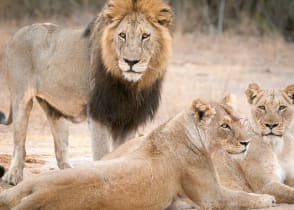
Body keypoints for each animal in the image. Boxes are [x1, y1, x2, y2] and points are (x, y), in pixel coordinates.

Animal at [0, 0, 173, 185]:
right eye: (122, 35)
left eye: (145, 36)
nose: (131, 62)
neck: (130, 85)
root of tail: (17, 33)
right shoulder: (98, 114)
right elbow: (103, 154)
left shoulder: (129, 120)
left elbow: (121, 153)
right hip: (20, 99)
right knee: (19, 143)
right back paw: (13, 176)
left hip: (54, 109)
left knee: (60, 150)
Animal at [0, 98, 276, 210]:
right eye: (225, 126)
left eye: (240, 120)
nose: (247, 143)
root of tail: (43, 192)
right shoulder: (212, 196)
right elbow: (242, 196)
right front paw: (268, 199)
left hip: (28, 185)